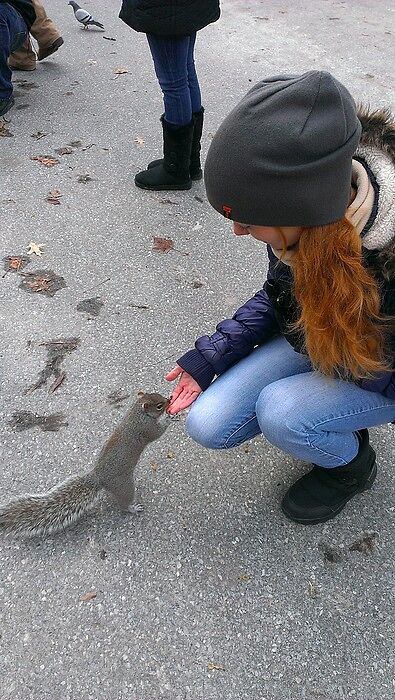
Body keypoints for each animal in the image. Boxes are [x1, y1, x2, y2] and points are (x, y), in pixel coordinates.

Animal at [0, 394, 170, 536]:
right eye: (159, 405)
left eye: (158, 395)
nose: (169, 399)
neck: (137, 414)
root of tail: (98, 478)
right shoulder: (146, 428)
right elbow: (157, 433)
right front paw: (170, 418)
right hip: (124, 485)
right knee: (124, 503)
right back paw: (132, 508)